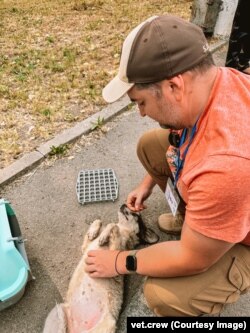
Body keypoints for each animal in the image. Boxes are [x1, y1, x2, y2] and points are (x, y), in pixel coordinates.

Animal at [43, 202, 158, 332]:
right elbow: (100, 221)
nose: (123, 203)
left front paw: (104, 235)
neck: (124, 231)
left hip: (108, 324)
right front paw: (95, 232)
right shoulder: (85, 248)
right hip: (57, 312)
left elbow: (113, 225)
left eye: (136, 214)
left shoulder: (116, 253)